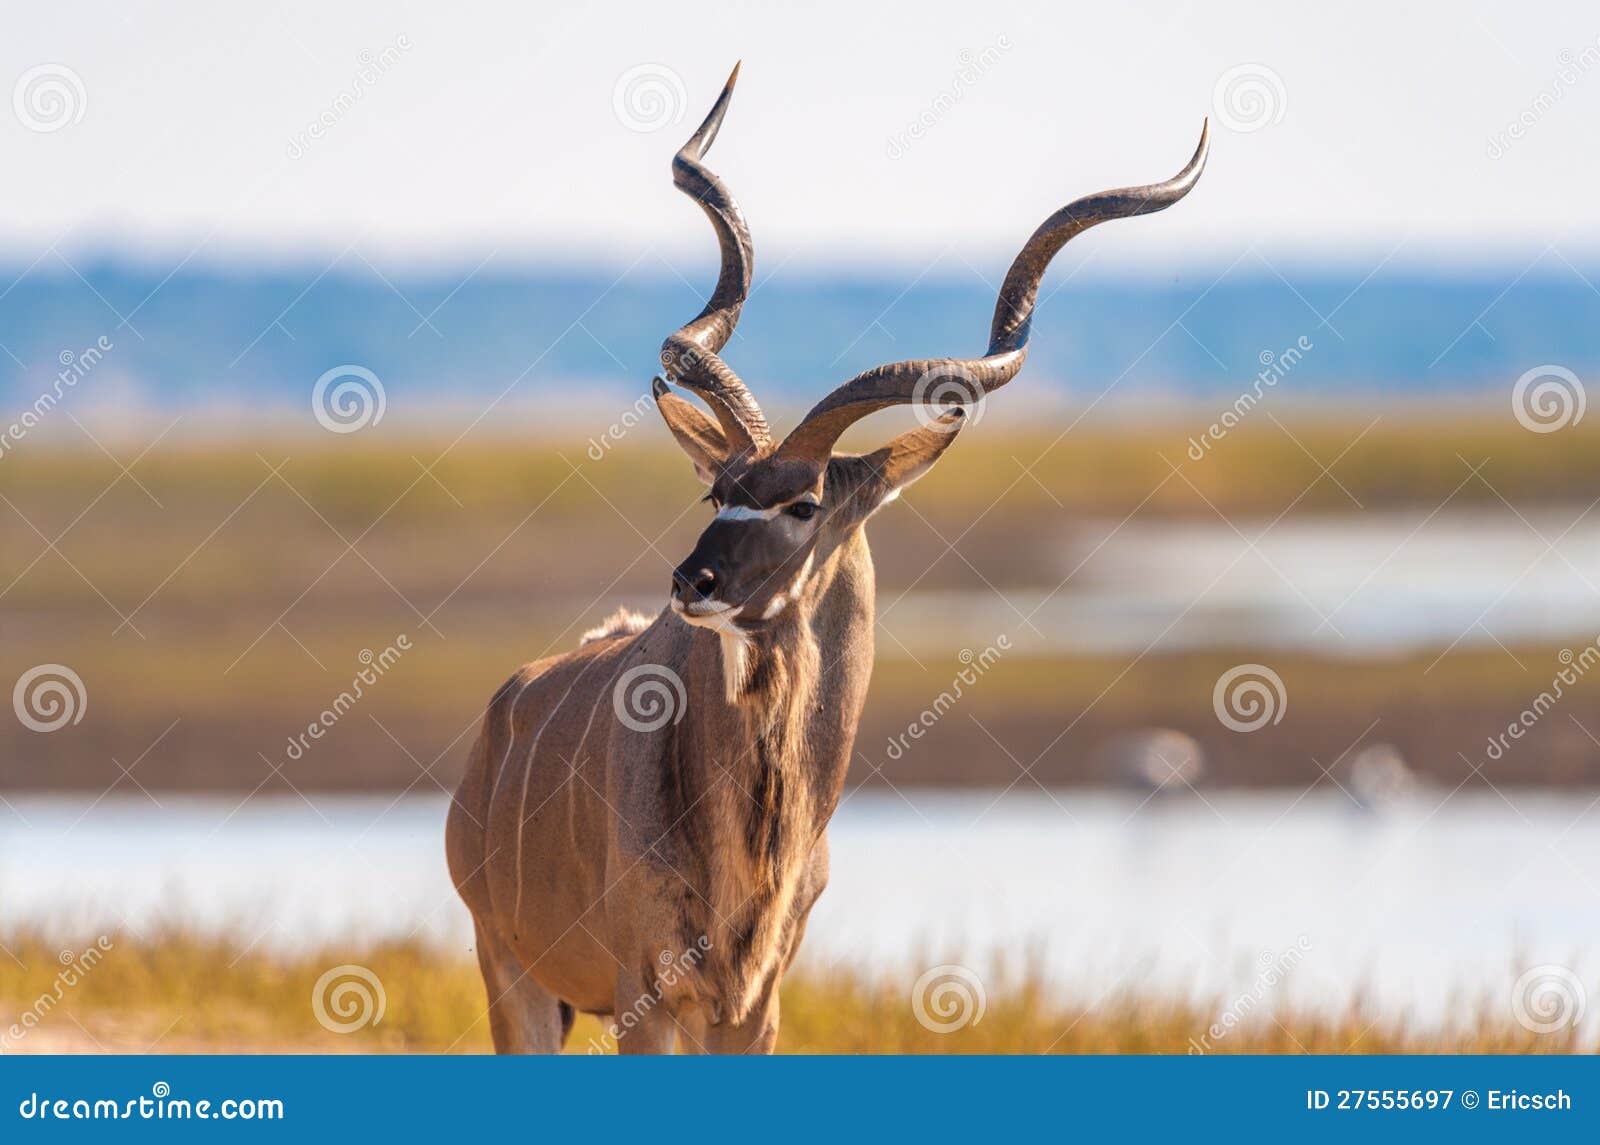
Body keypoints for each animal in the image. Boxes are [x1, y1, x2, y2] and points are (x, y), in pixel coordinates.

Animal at [444, 60, 1203, 1049]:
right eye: (716, 491)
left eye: (804, 503)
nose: (693, 581)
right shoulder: (646, 996)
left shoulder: (753, 1007)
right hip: (514, 975)